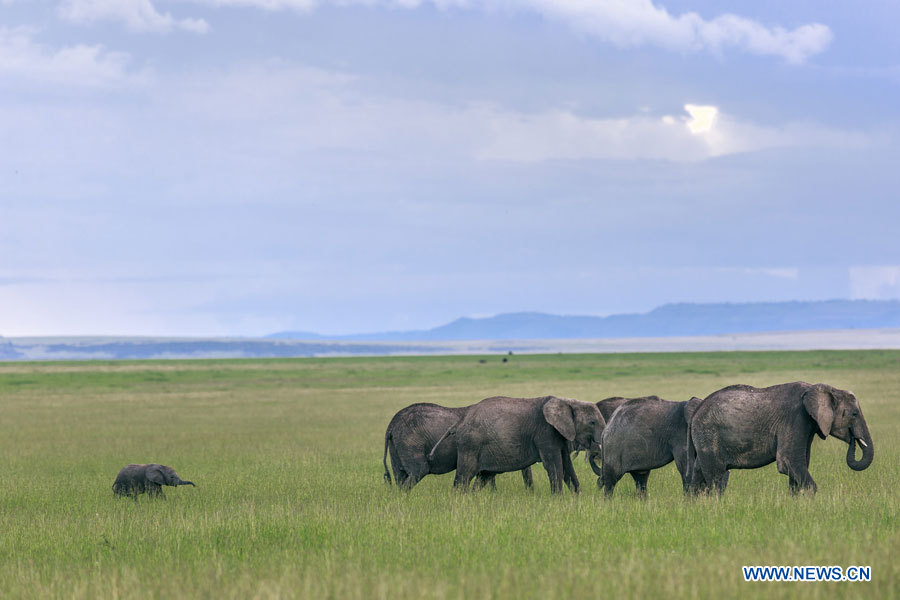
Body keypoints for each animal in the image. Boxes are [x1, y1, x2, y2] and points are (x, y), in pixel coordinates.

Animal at [382, 404, 532, 492]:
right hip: (410, 440)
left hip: (395, 445)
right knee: (419, 470)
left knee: (400, 475)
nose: (530, 493)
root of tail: (391, 426)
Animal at [436, 398, 604, 492]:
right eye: (592, 422)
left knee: (483, 476)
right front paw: (558, 500)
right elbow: (554, 465)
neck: (567, 401)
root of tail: (459, 422)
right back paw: (460, 501)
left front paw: (577, 498)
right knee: (464, 476)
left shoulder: (560, 434)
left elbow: (567, 466)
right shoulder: (545, 432)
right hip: (470, 445)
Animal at [684, 382, 876, 494]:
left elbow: (799, 464)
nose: (853, 439)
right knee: (715, 477)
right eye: (854, 413)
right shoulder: (795, 418)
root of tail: (697, 411)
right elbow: (788, 461)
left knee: (697, 475)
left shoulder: (808, 425)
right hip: (709, 436)